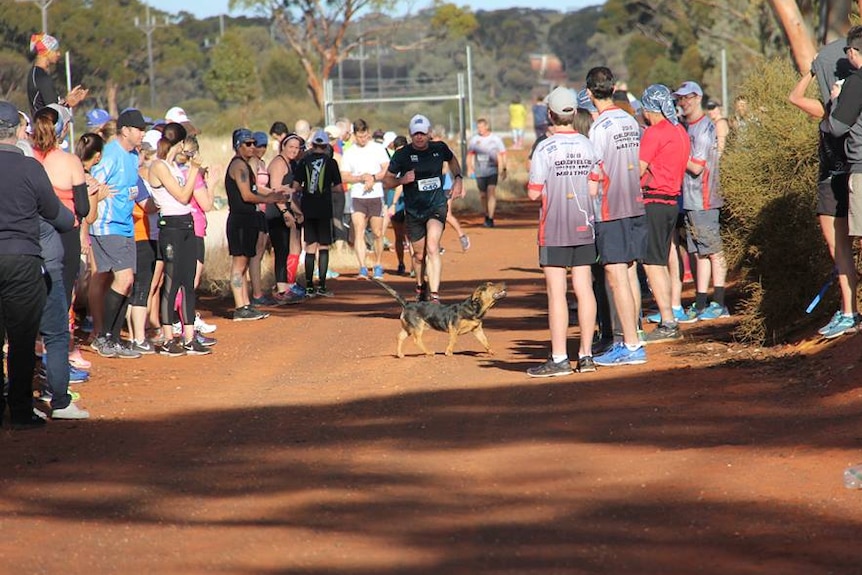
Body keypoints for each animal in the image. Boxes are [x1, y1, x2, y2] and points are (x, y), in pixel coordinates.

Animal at [372, 282, 506, 358]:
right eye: (490, 285)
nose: (504, 283)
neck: (474, 308)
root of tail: (407, 304)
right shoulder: (454, 327)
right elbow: (453, 340)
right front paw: (449, 352)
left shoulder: (477, 329)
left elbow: (485, 341)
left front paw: (491, 352)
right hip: (418, 327)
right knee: (417, 340)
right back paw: (429, 352)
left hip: (408, 328)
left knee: (399, 337)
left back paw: (400, 354)